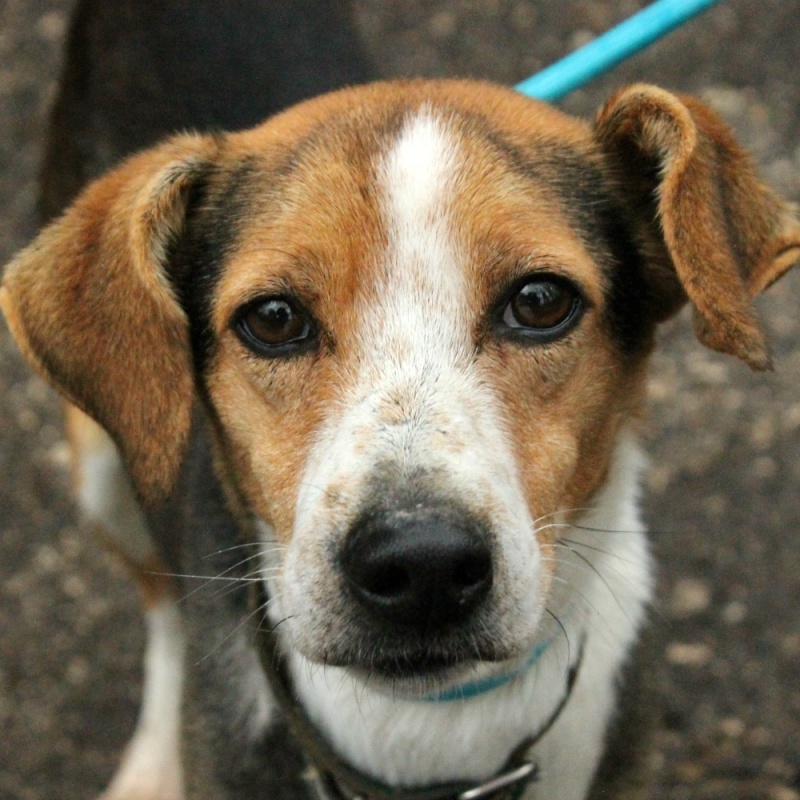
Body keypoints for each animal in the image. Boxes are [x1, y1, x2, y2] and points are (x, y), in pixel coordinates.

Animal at [1, 1, 800, 800]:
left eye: (541, 302)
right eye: (273, 319)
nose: (421, 565)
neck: (437, 730)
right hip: (105, 469)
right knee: (163, 606)